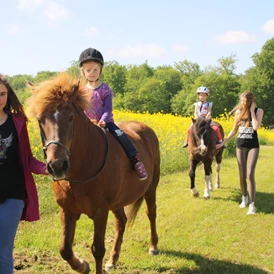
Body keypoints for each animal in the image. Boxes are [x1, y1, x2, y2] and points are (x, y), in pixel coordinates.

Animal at [27, 73, 161, 274]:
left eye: (70, 118)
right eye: (40, 119)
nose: (57, 165)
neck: (79, 173)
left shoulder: (100, 212)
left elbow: (98, 249)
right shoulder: (67, 211)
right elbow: (64, 249)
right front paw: (82, 265)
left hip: (151, 187)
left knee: (151, 212)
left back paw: (153, 246)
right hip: (118, 201)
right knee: (121, 222)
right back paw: (113, 259)